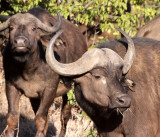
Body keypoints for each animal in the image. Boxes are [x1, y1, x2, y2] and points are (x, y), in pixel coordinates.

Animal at [0, 7, 87, 137]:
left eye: (33, 28)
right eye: (11, 27)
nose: (20, 42)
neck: (28, 70)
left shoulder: (49, 90)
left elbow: (41, 120)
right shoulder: (11, 86)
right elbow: (12, 117)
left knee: (64, 115)